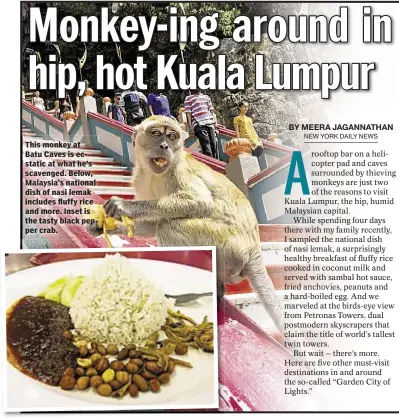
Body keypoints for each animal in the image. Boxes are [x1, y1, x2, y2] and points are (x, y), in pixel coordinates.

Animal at [89, 116, 286, 334]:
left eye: (172, 136)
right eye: (156, 133)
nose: (165, 145)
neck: (154, 174)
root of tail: (254, 249)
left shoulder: (179, 171)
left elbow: (200, 202)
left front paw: (123, 206)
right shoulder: (140, 180)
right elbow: (151, 224)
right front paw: (105, 226)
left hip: (229, 247)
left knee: (169, 228)